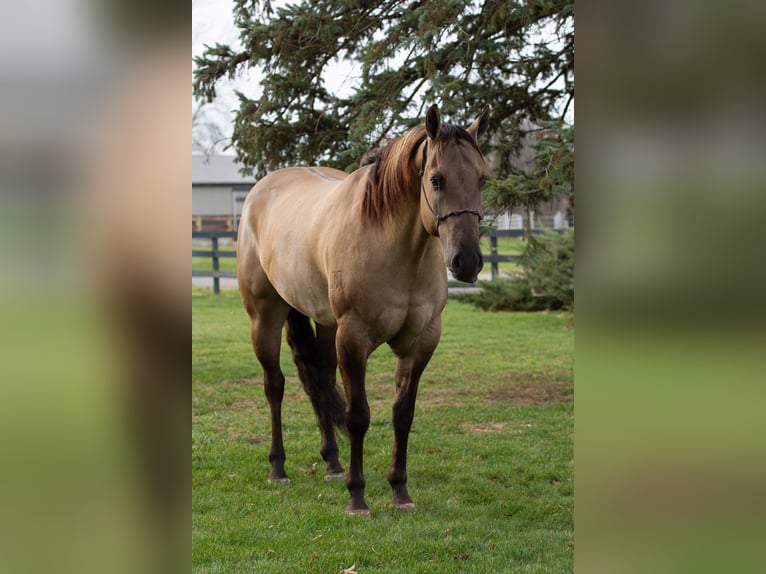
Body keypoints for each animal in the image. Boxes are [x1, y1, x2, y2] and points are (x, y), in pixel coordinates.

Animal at [237, 104, 491, 514]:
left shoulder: (421, 341)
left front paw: (400, 492)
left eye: (483, 180)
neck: (394, 246)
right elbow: (358, 416)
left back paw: (333, 464)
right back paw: (278, 468)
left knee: (322, 382)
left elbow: (403, 414)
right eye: (436, 180)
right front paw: (357, 497)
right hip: (265, 318)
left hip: (326, 325)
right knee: (274, 385)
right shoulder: (354, 339)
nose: (466, 261)